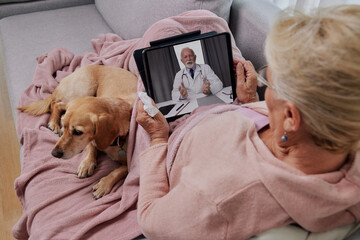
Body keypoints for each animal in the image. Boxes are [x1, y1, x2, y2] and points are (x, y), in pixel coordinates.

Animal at [18, 65, 139, 199]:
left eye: (77, 132)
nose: (54, 153)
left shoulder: (132, 165)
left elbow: (119, 171)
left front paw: (104, 184)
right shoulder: (93, 141)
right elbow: (91, 148)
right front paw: (87, 164)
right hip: (83, 91)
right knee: (56, 104)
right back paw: (54, 124)